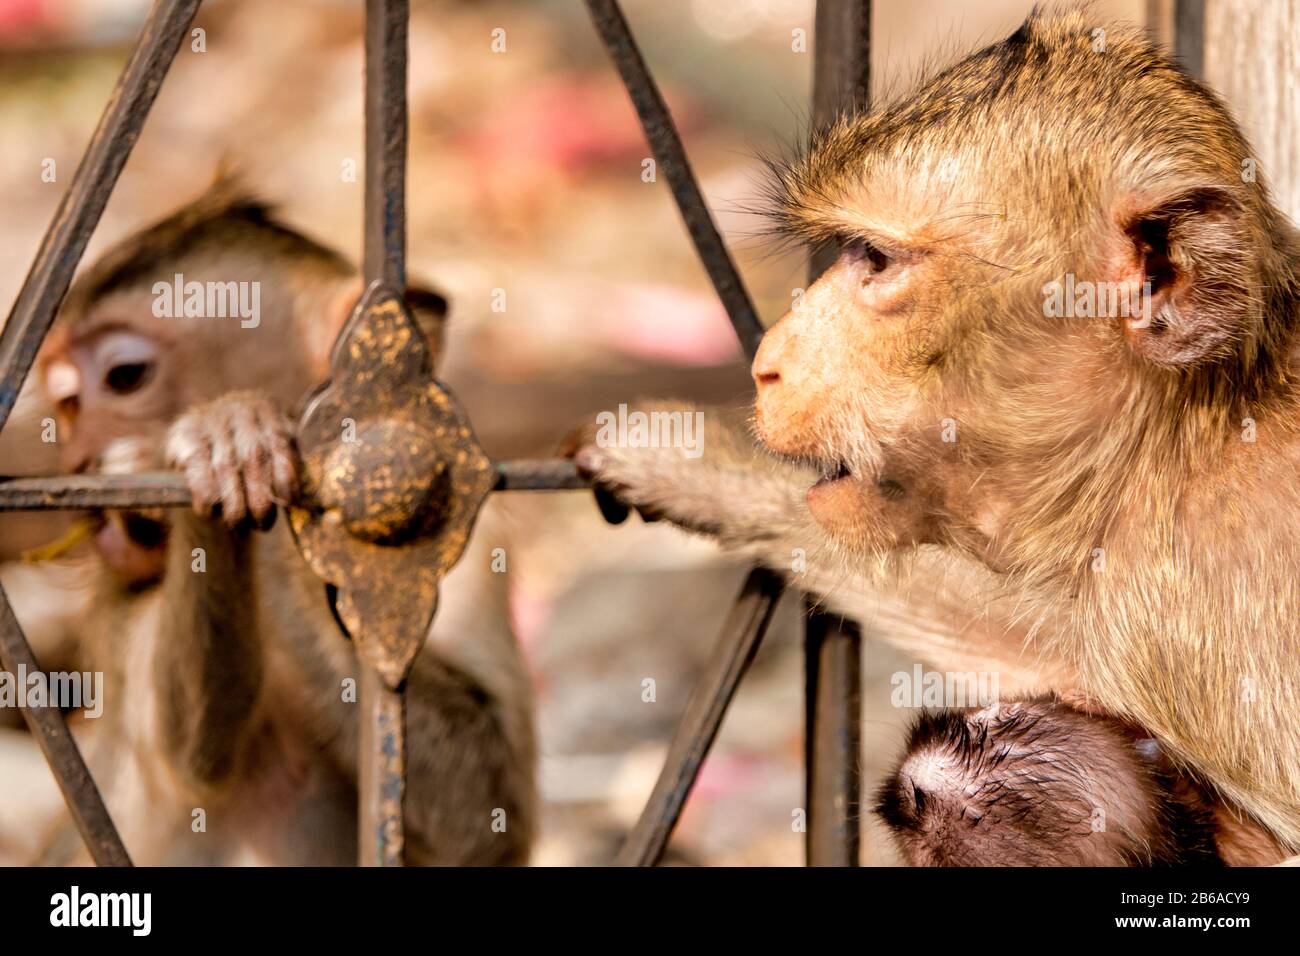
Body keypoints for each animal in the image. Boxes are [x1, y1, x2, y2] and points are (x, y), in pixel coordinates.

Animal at [27, 180, 533, 868]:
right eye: (69, 404)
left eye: (125, 377)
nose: (78, 462)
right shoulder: (123, 595)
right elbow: (195, 758)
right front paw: (229, 443)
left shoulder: (469, 534)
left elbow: (486, 823)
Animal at [574, 9, 1300, 858]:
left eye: (875, 259)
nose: (766, 365)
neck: (1175, 441)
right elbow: (1045, 651)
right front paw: (681, 460)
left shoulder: (1189, 603)